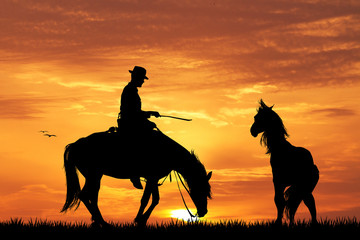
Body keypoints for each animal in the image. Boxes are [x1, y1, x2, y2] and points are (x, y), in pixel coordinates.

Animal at [59, 128, 211, 226]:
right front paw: (139, 219)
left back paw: (98, 222)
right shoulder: (152, 178)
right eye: (201, 189)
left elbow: (154, 199)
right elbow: (147, 199)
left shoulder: (153, 179)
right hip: (93, 175)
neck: (168, 152)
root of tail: (75, 145)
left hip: (95, 176)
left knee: (92, 197)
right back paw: (104, 223)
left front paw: (142, 220)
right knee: (84, 195)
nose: (204, 212)